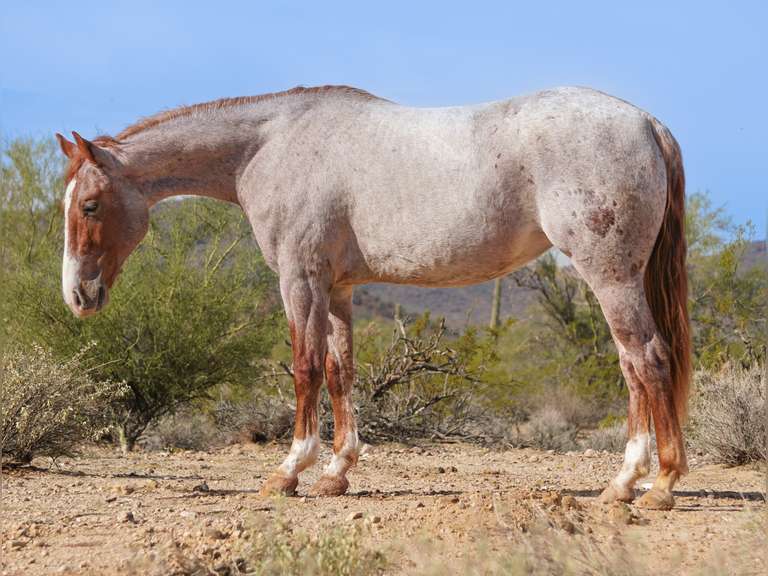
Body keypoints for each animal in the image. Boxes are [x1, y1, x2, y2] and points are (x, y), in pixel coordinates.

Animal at [56, 85, 690, 509]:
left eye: (89, 204)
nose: (78, 296)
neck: (271, 144)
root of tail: (647, 123)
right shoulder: (338, 289)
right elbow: (341, 373)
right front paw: (336, 473)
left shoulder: (300, 281)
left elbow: (305, 369)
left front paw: (289, 471)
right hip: (610, 280)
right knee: (632, 367)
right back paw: (622, 485)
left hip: (610, 277)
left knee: (650, 360)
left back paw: (659, 485)